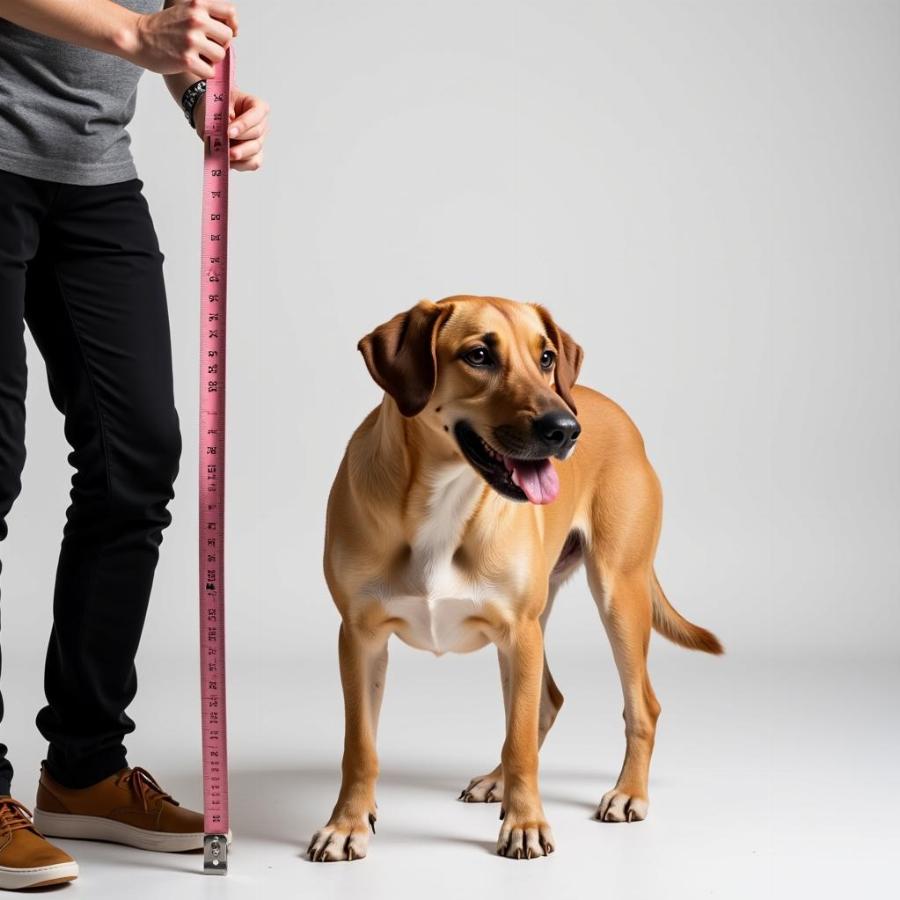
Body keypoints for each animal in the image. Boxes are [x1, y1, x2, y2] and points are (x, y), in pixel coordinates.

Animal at [306, 298, 720, 864]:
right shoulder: (360, 638)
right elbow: (360, 746)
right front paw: (348, 823)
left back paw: (627, 792)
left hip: (615, 596)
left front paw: (525, 824)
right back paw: (497, 781)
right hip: (540, 627)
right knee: (544, 702)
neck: (441, 498)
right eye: (479, 355)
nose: (566, 429)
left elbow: (521, 742)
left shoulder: (518, 633)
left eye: (545, 357)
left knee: (639, 707)